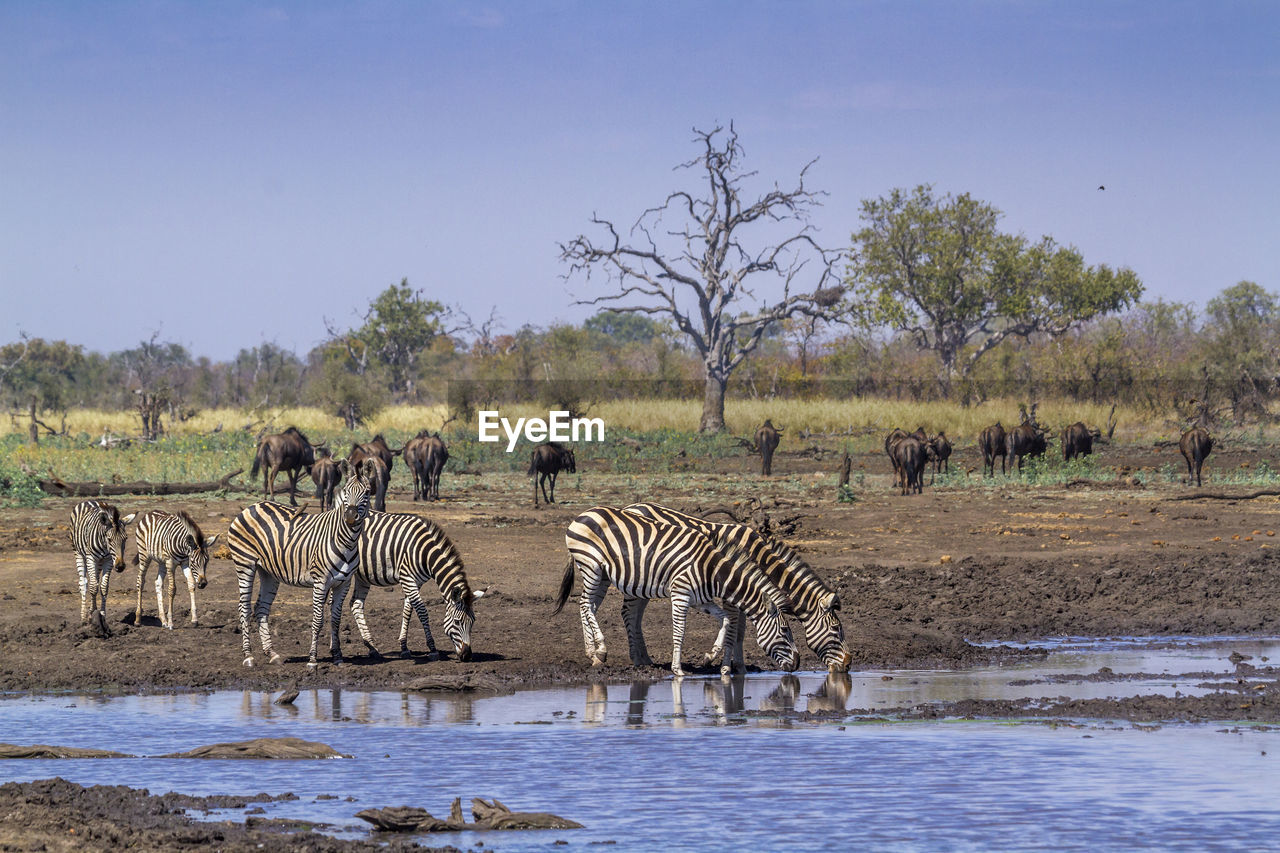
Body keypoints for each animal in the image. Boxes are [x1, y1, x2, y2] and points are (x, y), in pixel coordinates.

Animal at [225, 458, 371, 666]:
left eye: (367, 492)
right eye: (346, 491)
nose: (350, 517)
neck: (346, 540)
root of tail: (252, 506)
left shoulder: (344, 583)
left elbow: (336, 619)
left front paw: (337, 656)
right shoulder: (320, 581)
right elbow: (318, 620)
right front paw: (312, 659)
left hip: (268, 571)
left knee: (261, 608)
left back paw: (272, 653)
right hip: (244, 563)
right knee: (243, 608)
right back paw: (248, 656)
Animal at [345, 507, 483, 660]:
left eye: (473, 621)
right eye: (457, 621)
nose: (467, 655)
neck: (425, 552)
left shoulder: (416, 582)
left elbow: (408, 611)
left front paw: (404, 647)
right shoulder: (407, 578)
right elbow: (422, 611)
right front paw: (432, 649)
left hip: (363, 576)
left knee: (356, 604)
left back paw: (372, 647)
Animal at [552, 502, 798, 676]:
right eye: (785, 631)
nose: (797, 664)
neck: (710, 569)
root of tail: (583, 513)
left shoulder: (700, 600)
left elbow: (726, 621)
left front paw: (710, 655)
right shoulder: (680, 595)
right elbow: (680, 631)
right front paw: (678, 669)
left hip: (602, 574)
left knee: (588, 606)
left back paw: (593, 654)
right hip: (591, 566)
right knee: (585, 604)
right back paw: (601, 649)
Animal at [622, 499, 849, 671]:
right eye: (836, 629)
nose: (848, 664)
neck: (756, 555)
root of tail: (631, 506)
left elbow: (740, 630)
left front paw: (739, 667)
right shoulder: (731, 588)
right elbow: (733, 628)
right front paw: (723, 666)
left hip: (648, 581)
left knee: (636, 614)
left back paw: (645, 658)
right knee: (628, 612)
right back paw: (637, 659)